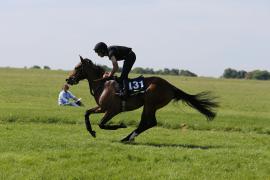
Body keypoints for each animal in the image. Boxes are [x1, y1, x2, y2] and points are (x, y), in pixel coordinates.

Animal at [66, 56, 219, 142]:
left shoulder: (112, 110)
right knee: (147, 123)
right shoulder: (102, 108)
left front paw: (121, 125)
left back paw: (127, 138)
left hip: (150, 103)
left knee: (149, 122)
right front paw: (91, 132)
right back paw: (128, 138)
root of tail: (170, 86)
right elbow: (87, 113)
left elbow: (102, 124)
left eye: (77, 67)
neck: (103, 84)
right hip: (150, 105)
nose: (68, 79)